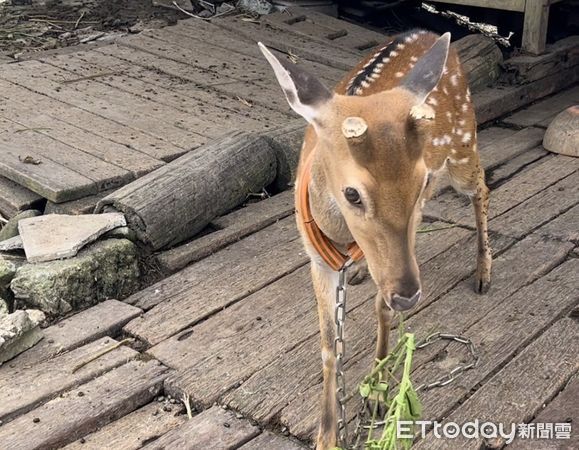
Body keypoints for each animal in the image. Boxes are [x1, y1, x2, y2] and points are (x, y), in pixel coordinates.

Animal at [260, 29, 492, 448]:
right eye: (352, 194)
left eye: (420, 182)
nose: (409, 295)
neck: (340, 233)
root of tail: (432, 35)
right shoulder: (315, 257)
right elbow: (328, 343)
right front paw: (327, 434)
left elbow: (380, 311)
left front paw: (379, 395)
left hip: (463, 145)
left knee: (483, 187)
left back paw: (483, 272)